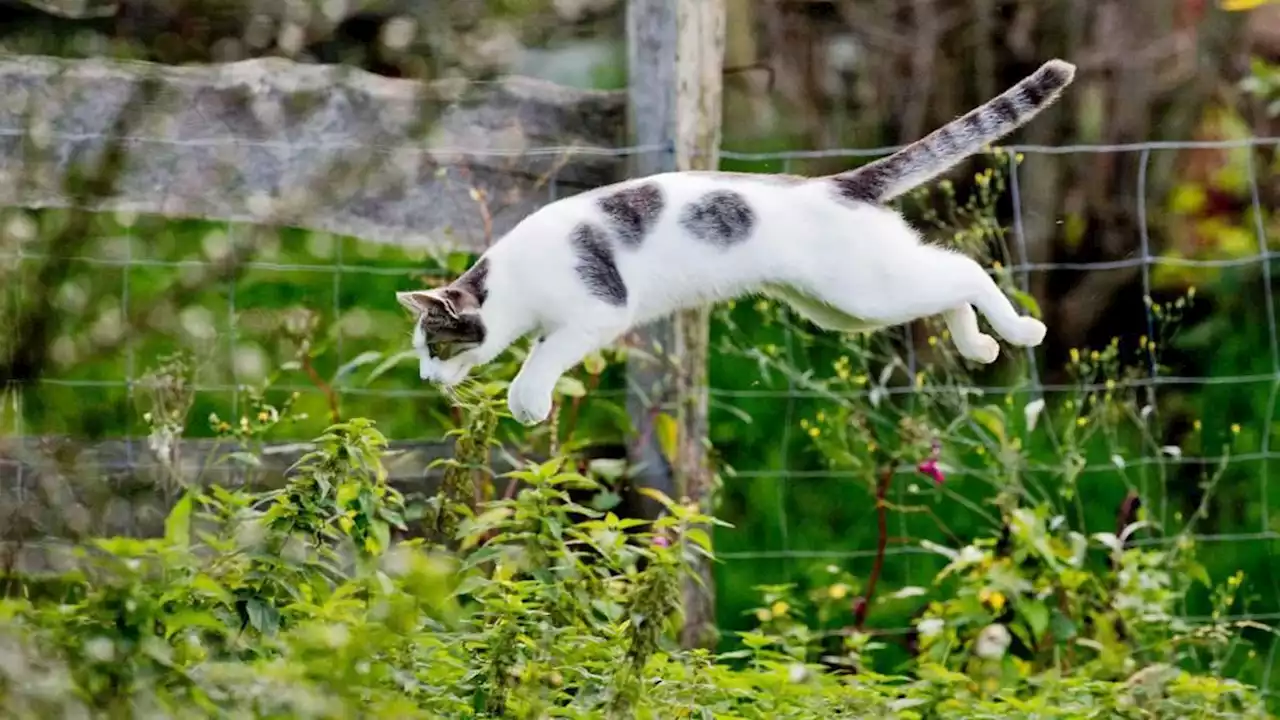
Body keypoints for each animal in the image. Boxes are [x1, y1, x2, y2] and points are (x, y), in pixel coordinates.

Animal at [394, 60, 1075, 425]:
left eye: (436, 344)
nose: (426, 376)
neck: (515, 284)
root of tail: (837, 183)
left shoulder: (597, 313)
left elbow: (539, 359)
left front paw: (528, 401)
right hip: (844, 307)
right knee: (946, 279)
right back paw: (980, 346)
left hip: (864, 292)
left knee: (966, 270)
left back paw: (1021, 332)